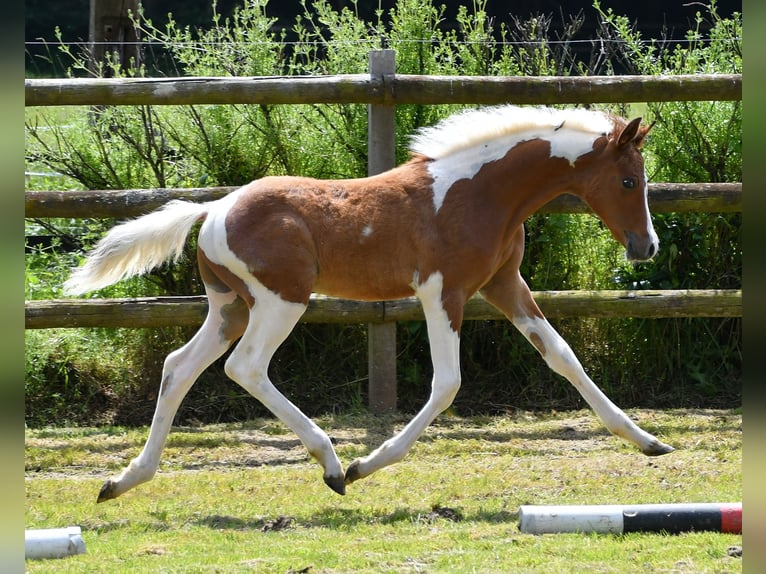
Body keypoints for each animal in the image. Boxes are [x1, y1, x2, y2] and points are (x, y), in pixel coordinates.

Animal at [67, 106, 680, 502]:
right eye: (630, 181)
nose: (645, 247)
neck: (479, 192)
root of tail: (212, 210)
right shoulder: (442, 292)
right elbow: (447, 383)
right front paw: (368, 464)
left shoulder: (505, 284)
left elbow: (562, 356)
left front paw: (649, 441)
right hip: (280, 302)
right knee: (246, 367)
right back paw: (334, 465)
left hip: (229, 307)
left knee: (178, 367)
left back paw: (123, 480)